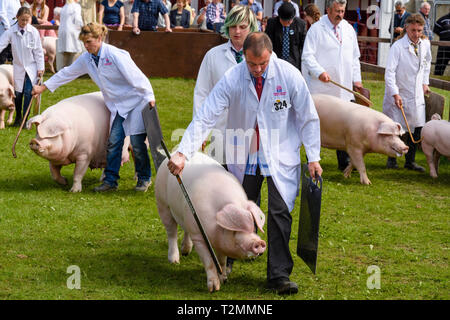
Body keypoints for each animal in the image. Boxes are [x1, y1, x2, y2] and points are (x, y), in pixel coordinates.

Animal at [156, 152, 268, 292]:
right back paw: (174, 260)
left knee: (185, 229)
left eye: (253, 226)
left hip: (186, 214)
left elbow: (222, 260)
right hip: (162, 203)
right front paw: (214, 288)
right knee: (171, 232)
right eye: (235, 230)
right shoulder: (199, 236)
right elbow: (209, 262)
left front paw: (224, 279)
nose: (259, 242)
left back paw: (186, 252)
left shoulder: (219, 241)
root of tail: (171, 154)